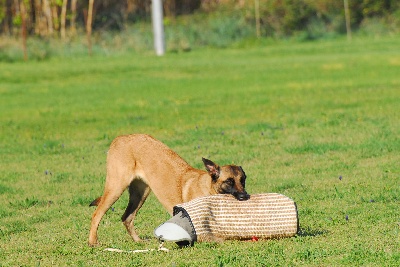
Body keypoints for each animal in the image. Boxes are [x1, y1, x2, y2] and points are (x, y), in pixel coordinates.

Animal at [89, 134, 248, 247]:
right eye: (229, 182)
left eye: (243, 180)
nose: (245, 197)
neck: (210, 191)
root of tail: (120, 138)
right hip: (116, 187)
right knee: (97, 214)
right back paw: (93, 242)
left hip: (141, 193)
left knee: (127, 217)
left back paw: (138, 241)